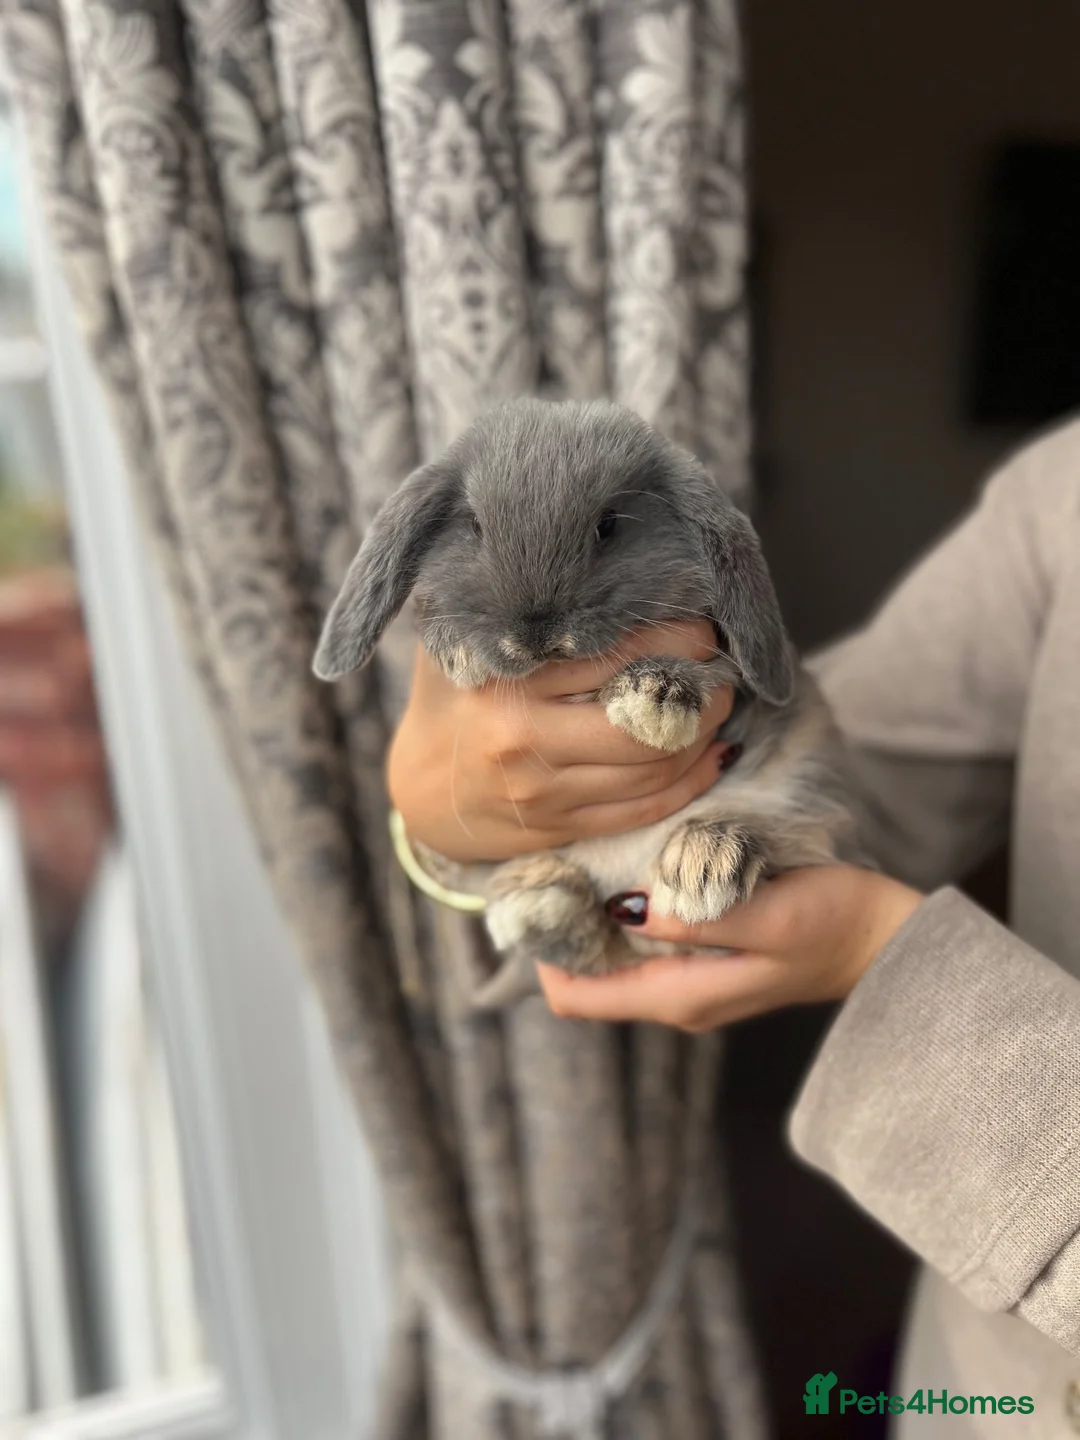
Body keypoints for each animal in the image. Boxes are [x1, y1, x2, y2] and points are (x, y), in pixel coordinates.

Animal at [313, 397, 862, 1004]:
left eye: (608, 525)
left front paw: (653, 701)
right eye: (474, 526)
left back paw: (704, 865)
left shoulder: (722, 659)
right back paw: (540, 904)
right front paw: (461, 654)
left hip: (803, 802)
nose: (534, 634)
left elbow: (712, 674)